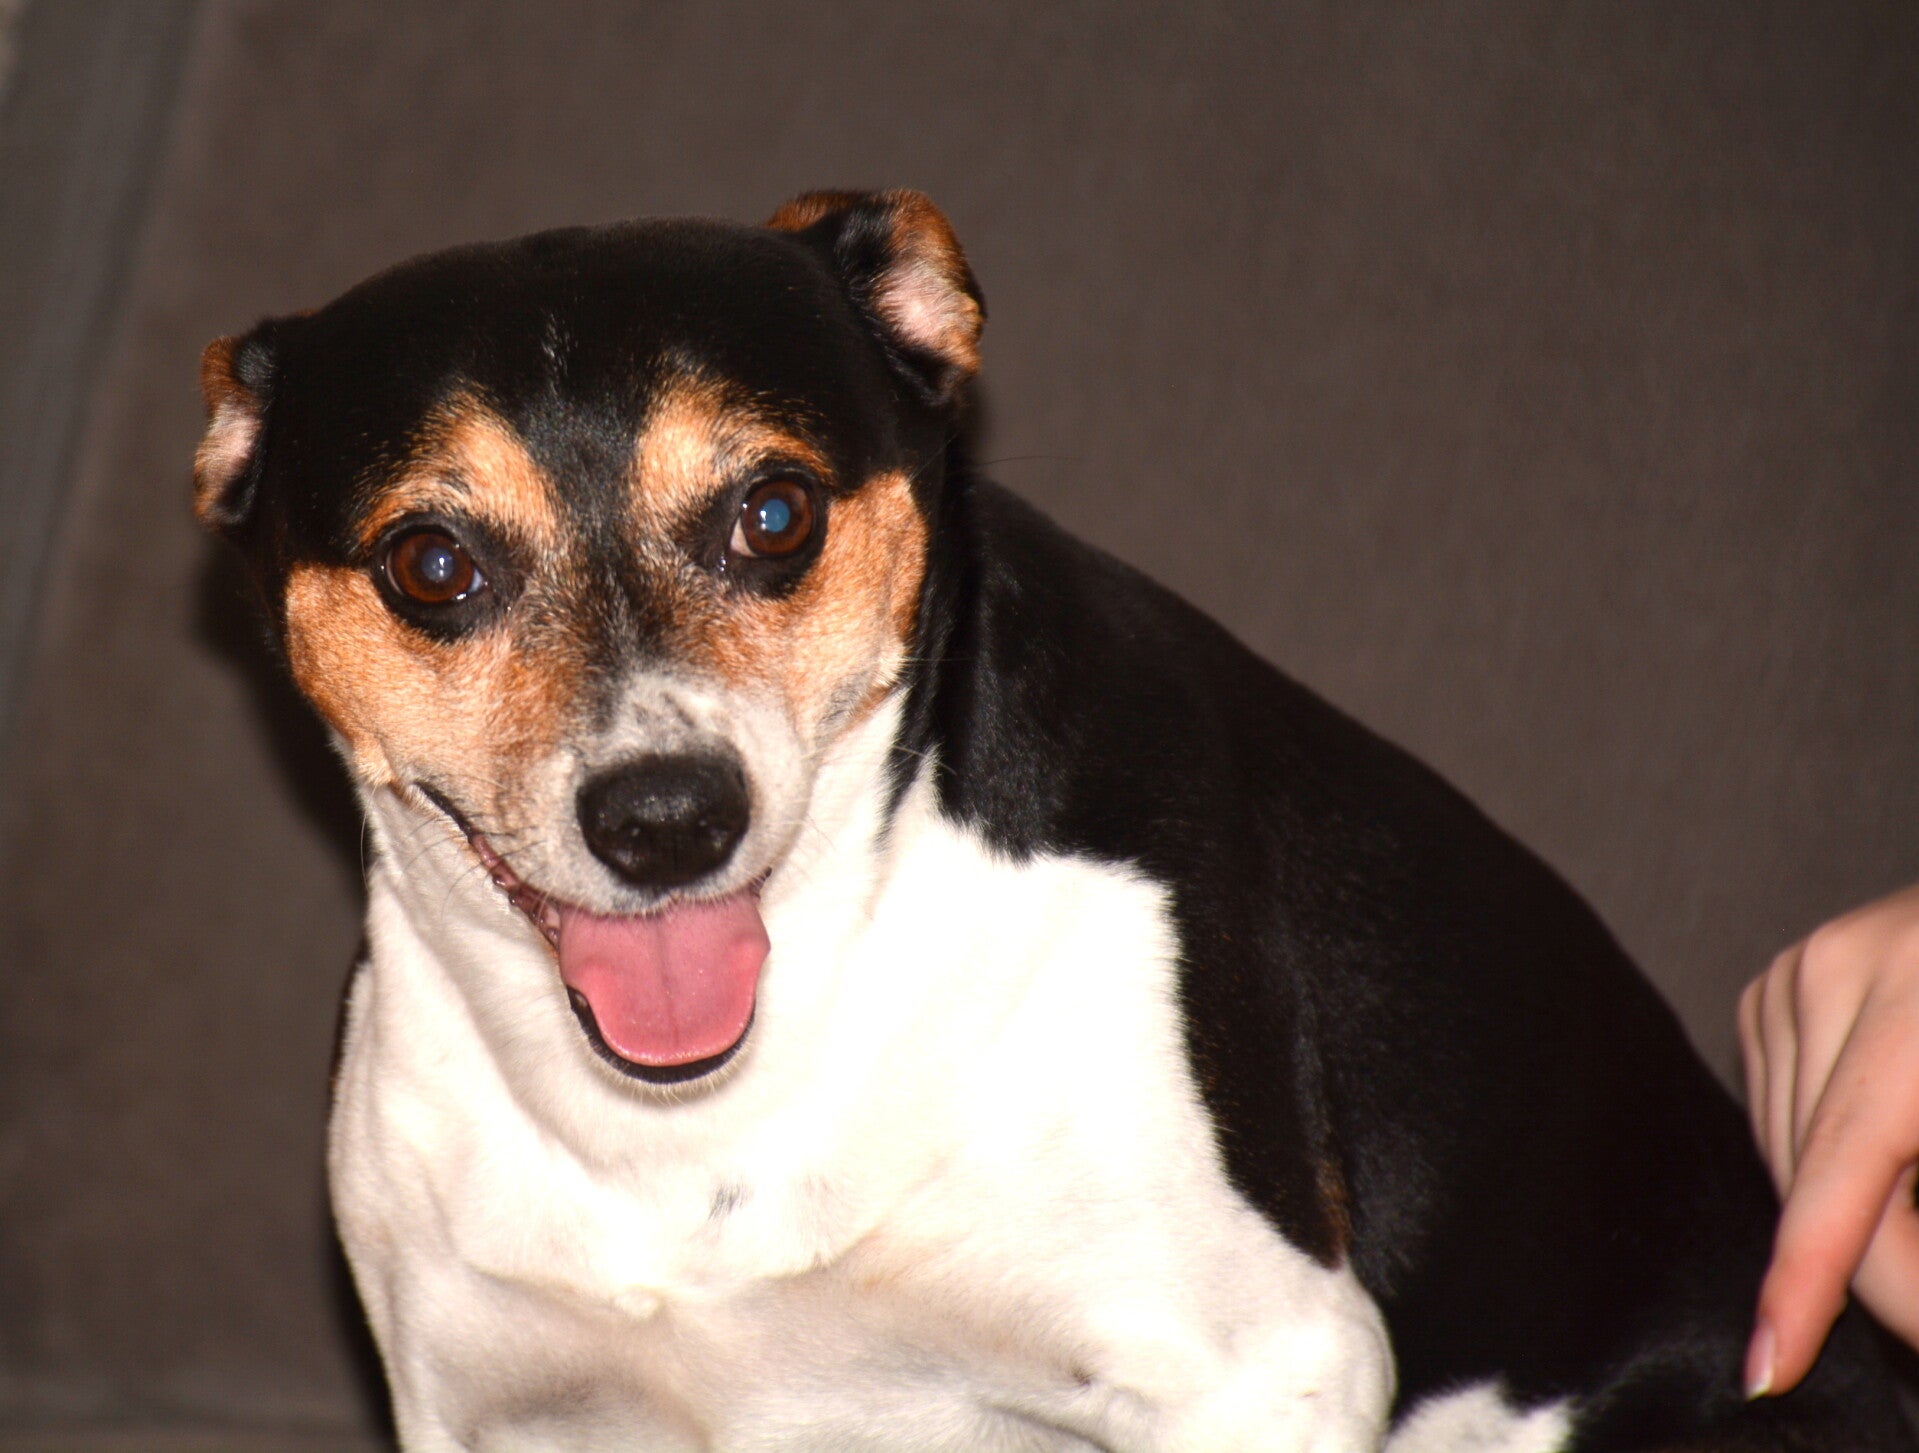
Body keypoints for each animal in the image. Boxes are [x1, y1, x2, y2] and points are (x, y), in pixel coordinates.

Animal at [195, 190, 1912, 1451]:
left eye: (773, 514)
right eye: (431, 564)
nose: (669, 818)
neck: (703, 1123)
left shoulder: (1259, 1370)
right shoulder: (494, 1409)